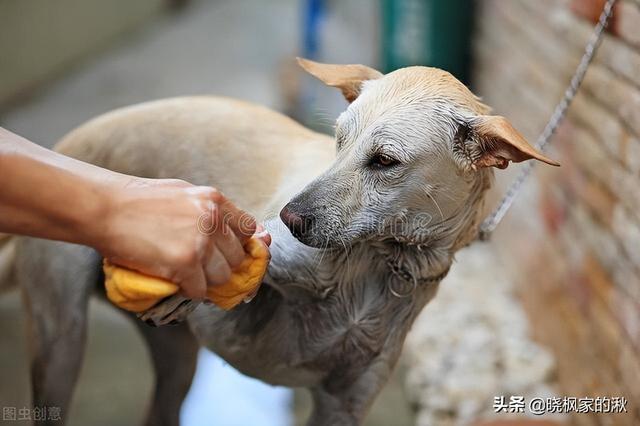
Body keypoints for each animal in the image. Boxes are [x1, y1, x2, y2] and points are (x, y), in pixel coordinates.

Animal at [0, 58, 556, 424]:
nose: (290, 218)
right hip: (60, 343)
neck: (376, 267)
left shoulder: (345, 404)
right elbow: (257, 262)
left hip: (177, 364)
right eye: (338, 140)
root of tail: (66, 143)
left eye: (384, 161)